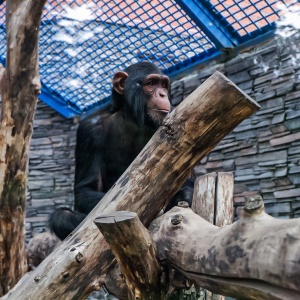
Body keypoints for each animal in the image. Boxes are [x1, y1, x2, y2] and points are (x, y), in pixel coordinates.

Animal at [48, 62, 195, 240]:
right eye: (151, 83)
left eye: (164, 85)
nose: (162, 94)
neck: (132, 119)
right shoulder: (88, 130)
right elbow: (85, 190)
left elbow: (189, 178)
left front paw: (181, 196)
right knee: (62, 216)